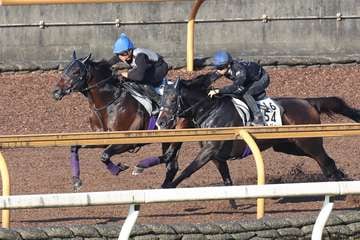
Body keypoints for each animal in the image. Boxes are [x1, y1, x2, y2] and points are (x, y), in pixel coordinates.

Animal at [52, 51, 187, 191]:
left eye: (76, 71)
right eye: (65, 70)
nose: (56, 92)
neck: (110, 102)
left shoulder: (127, 142)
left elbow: (105, 155)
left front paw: (119, 168)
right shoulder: (101, 139)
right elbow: (76, 147)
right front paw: (76, 180)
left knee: (170, 160)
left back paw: (141, 168)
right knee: (172, 165)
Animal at [155, 78, 360, 188]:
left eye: (172, 99)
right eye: (161, 99)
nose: (160, 122)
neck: (211, 109)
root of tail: (308, 102)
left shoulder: (209, 151)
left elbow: (189, 169)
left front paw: (168, 186)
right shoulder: (216, 155)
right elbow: (226, 179)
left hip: (309, 143)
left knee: (325, 161)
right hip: (288, 146)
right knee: (326, 163)